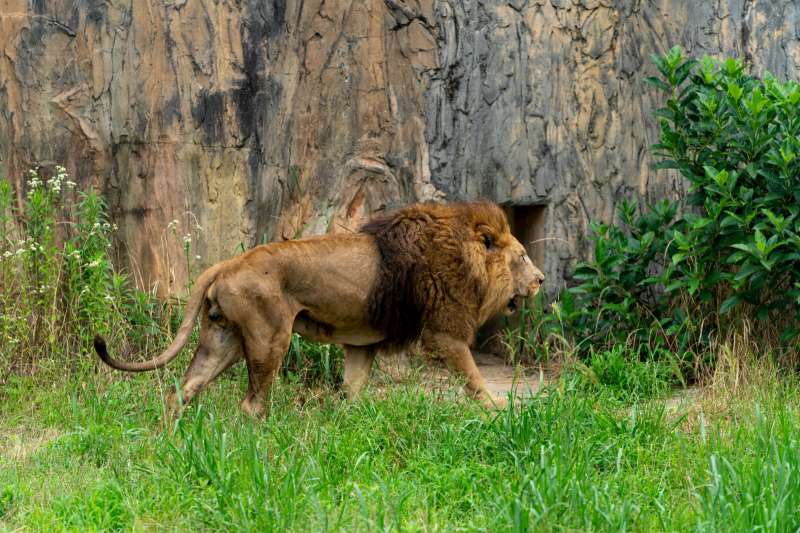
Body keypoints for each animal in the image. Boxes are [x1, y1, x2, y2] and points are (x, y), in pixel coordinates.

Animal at [92, 200, 544, 416]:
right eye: (522, 257)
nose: (540, 279)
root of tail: (228, 263)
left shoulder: (362, 345)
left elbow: (354, 387)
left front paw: (352, 421)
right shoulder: (444, 332)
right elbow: (473, 377)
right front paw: (496, 408)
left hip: (222, 339)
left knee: (181, 392)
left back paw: (169, 440)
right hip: (269, 337)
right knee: (251, 404)